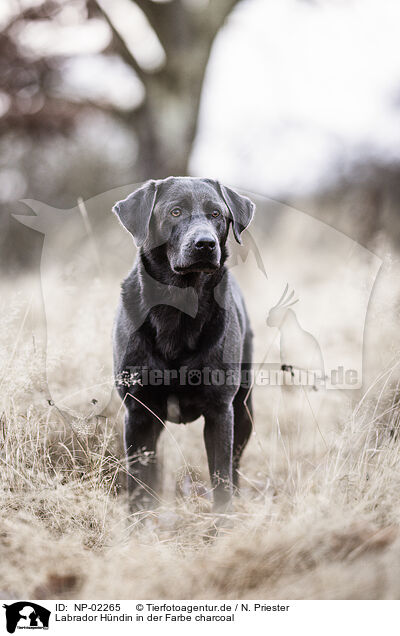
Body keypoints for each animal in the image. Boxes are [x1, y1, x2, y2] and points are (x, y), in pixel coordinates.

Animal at [112, 178, 255, 512]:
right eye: (175, 212)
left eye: (216, 214)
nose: (205, 244)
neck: (179, 307)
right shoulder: (138, 413)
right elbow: (138, 488)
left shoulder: (220, 412)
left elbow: (221, 481)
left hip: (243, 410)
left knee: (235, 467)